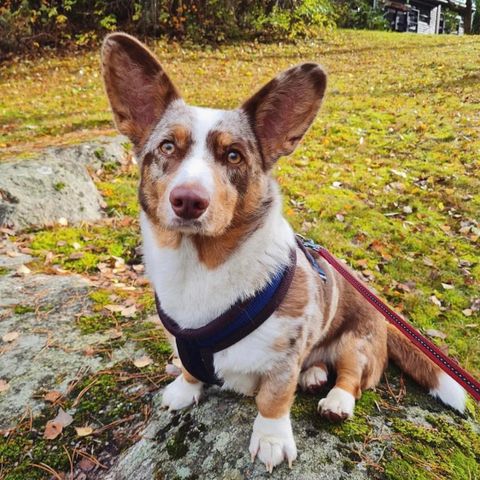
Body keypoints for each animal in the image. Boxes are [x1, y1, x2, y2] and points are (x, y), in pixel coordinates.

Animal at [100, 31, 464, 470]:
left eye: (234, 155)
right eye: (168, 147)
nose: (188, 201)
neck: (200, 263)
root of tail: (387, 317)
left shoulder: (284, 356)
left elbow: (274, 398)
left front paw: (271, 440)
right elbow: (190, 369)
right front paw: (184, 391)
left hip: (357, 341)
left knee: (352, 377)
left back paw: (335, 399)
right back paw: (313, 375)